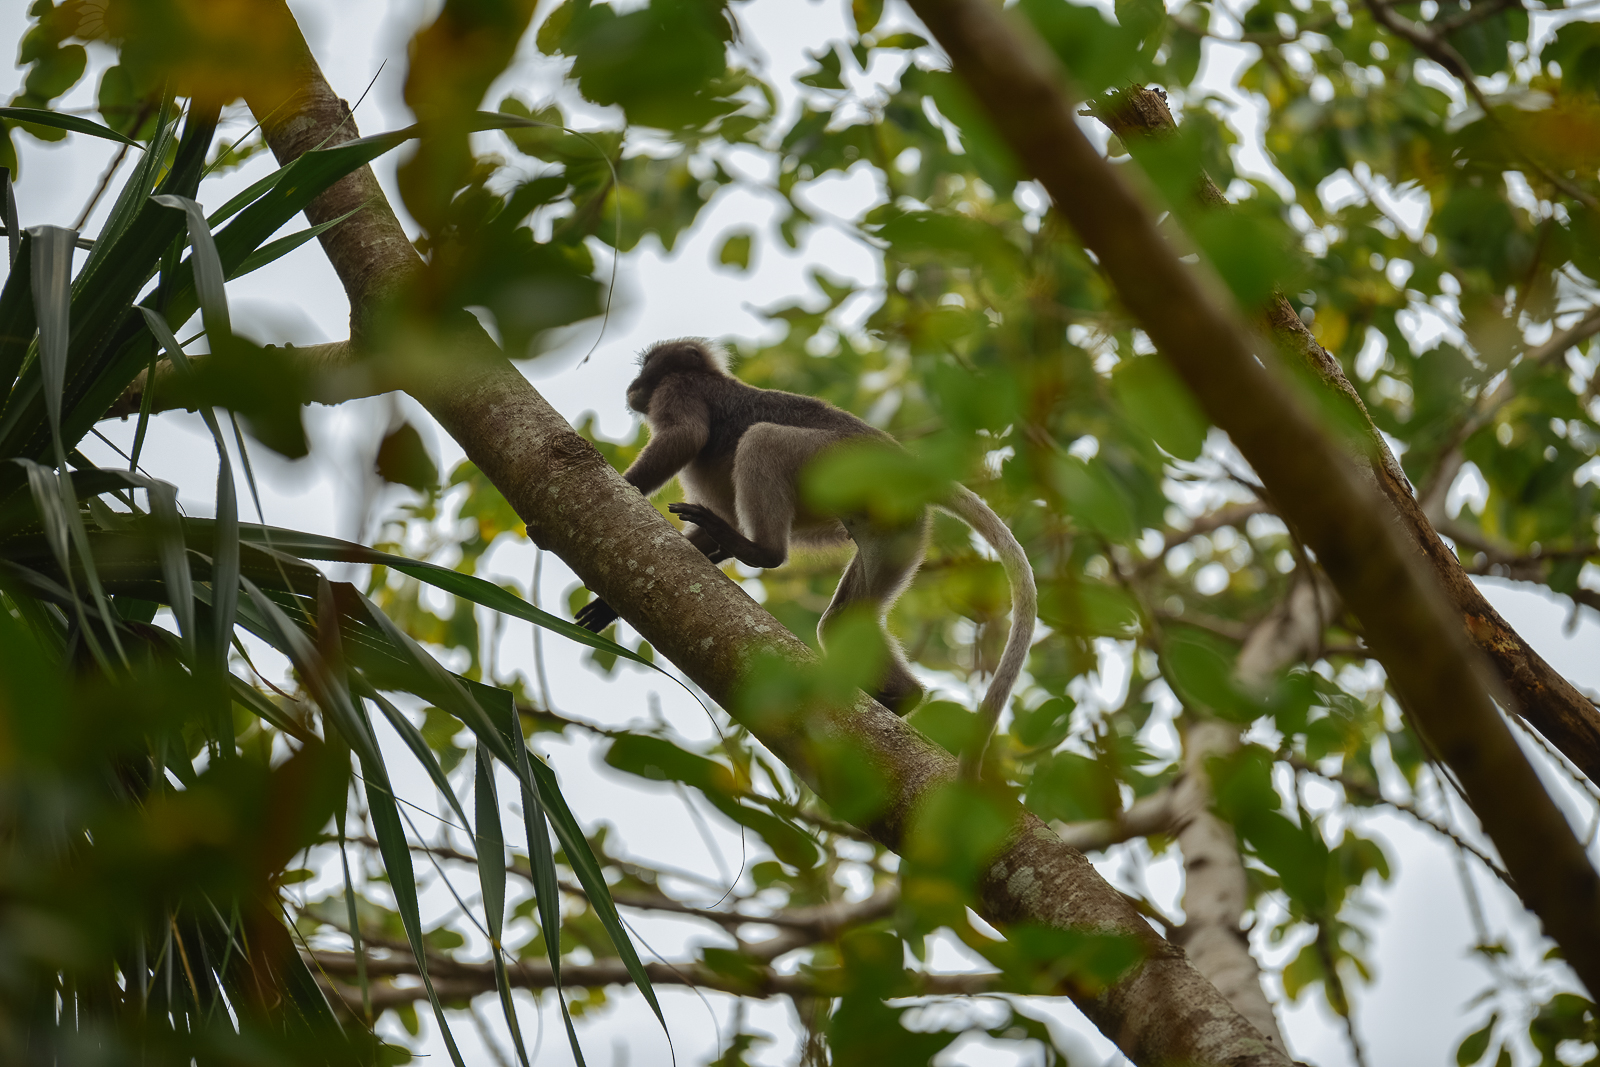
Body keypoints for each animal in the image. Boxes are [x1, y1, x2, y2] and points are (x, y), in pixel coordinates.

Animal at [576, 337, 1036, 780]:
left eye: (646, 366)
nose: (633, 386)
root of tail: (904, 463)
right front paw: (606, 607)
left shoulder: (679, 389)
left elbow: (685, 437)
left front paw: (624, 483)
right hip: (897, 528)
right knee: (842, 620)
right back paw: (902, 698)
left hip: (842, 461)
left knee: (763, 438)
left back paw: (761, 550)